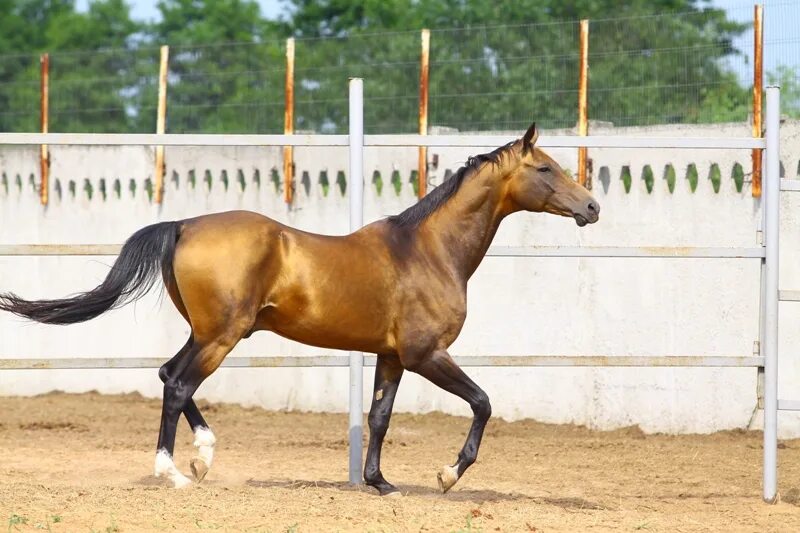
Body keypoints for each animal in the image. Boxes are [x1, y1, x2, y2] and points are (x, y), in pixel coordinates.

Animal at [0, 123, 596, 494]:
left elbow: (379, 417)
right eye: (545, 168)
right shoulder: (427, 354)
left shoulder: (391, 357)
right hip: (222, 336)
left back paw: (202, 457)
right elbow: (482, 402)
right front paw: (448, 475)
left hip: (209, 332)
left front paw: (380, 483)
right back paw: (175, 473)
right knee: (178, 385)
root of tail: (184, 224)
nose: (591, 206)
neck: (427, 250)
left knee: (170, 376)